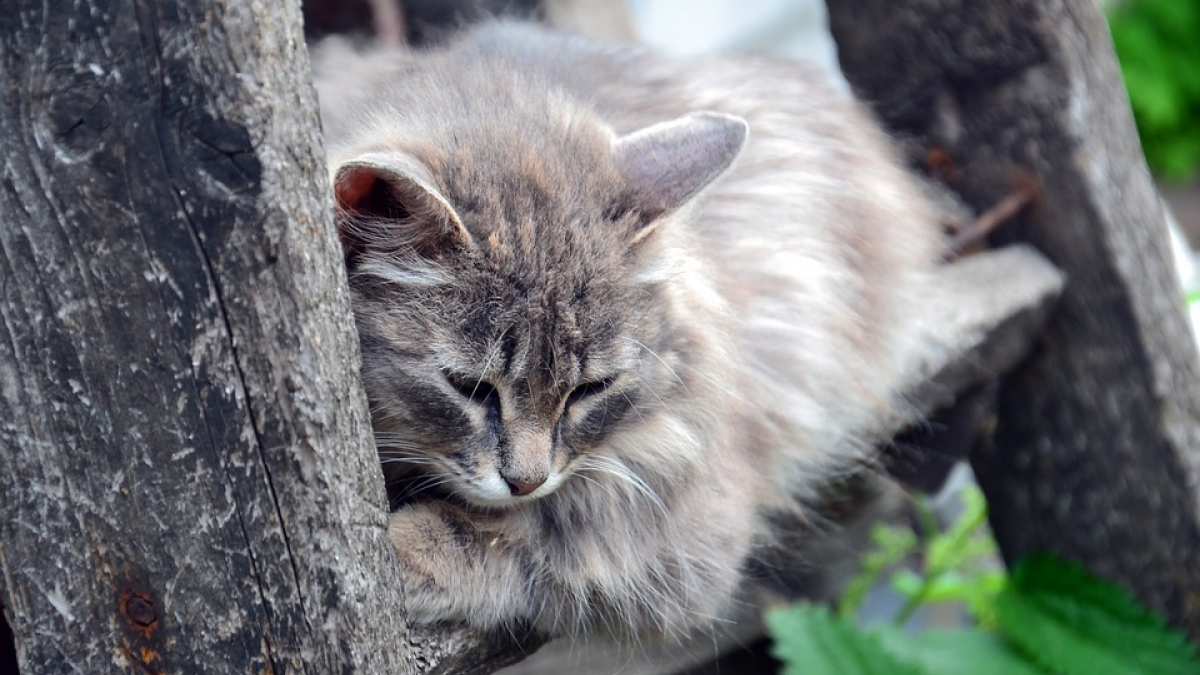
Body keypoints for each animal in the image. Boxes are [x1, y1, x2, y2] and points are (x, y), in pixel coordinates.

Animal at [312, 19, 936, 638]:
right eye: (469, 388)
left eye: (590, 390)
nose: (525, 481)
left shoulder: (677, 519)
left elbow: (519, 534)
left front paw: (399, 552)